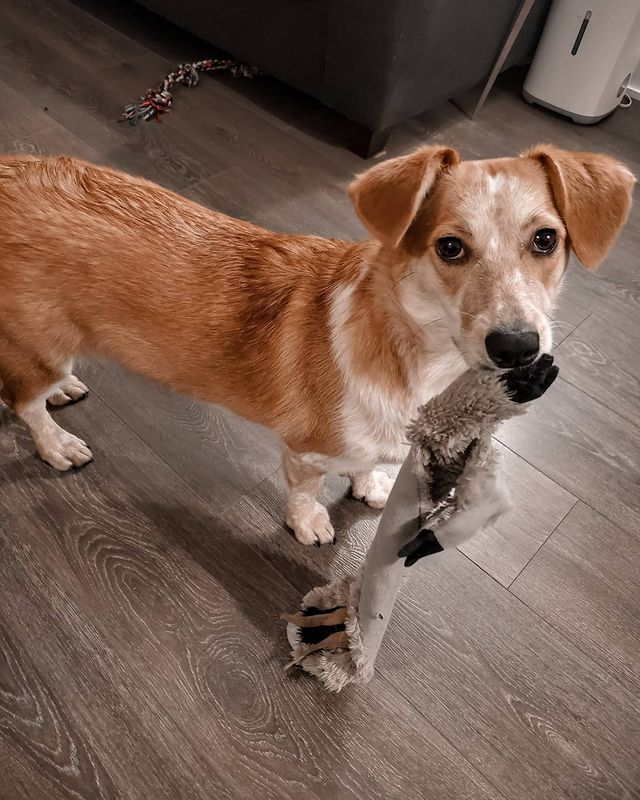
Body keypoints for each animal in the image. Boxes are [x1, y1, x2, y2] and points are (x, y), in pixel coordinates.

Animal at [0, 145, 632, 544]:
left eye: (546, 240)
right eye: (450, 247)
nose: (518, 348)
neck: (417, 360)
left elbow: (365, 466)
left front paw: (370, 486)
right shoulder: (305, 451)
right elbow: (306, 492)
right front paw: (310, 527)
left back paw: (65, 390)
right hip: (41, 341)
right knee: (24, 404)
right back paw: (57, 443)